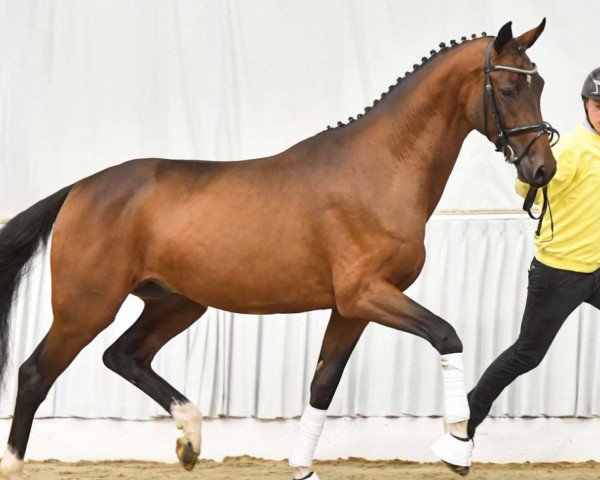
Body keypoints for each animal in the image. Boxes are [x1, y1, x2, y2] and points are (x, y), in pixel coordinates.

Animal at [0, 19, 556, 480]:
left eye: (541, 85)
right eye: (508, 88)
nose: (543, 169)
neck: (379, 169)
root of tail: (80, 188)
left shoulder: (351, 308)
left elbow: (322, 385)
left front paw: (302, 468)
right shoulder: (366, 294)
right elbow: (446, 335)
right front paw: (457, 442)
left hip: (177, 303)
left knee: (124, 356)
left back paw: (190, 440)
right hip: (86, 307)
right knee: (35, 373)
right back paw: (15, 463)